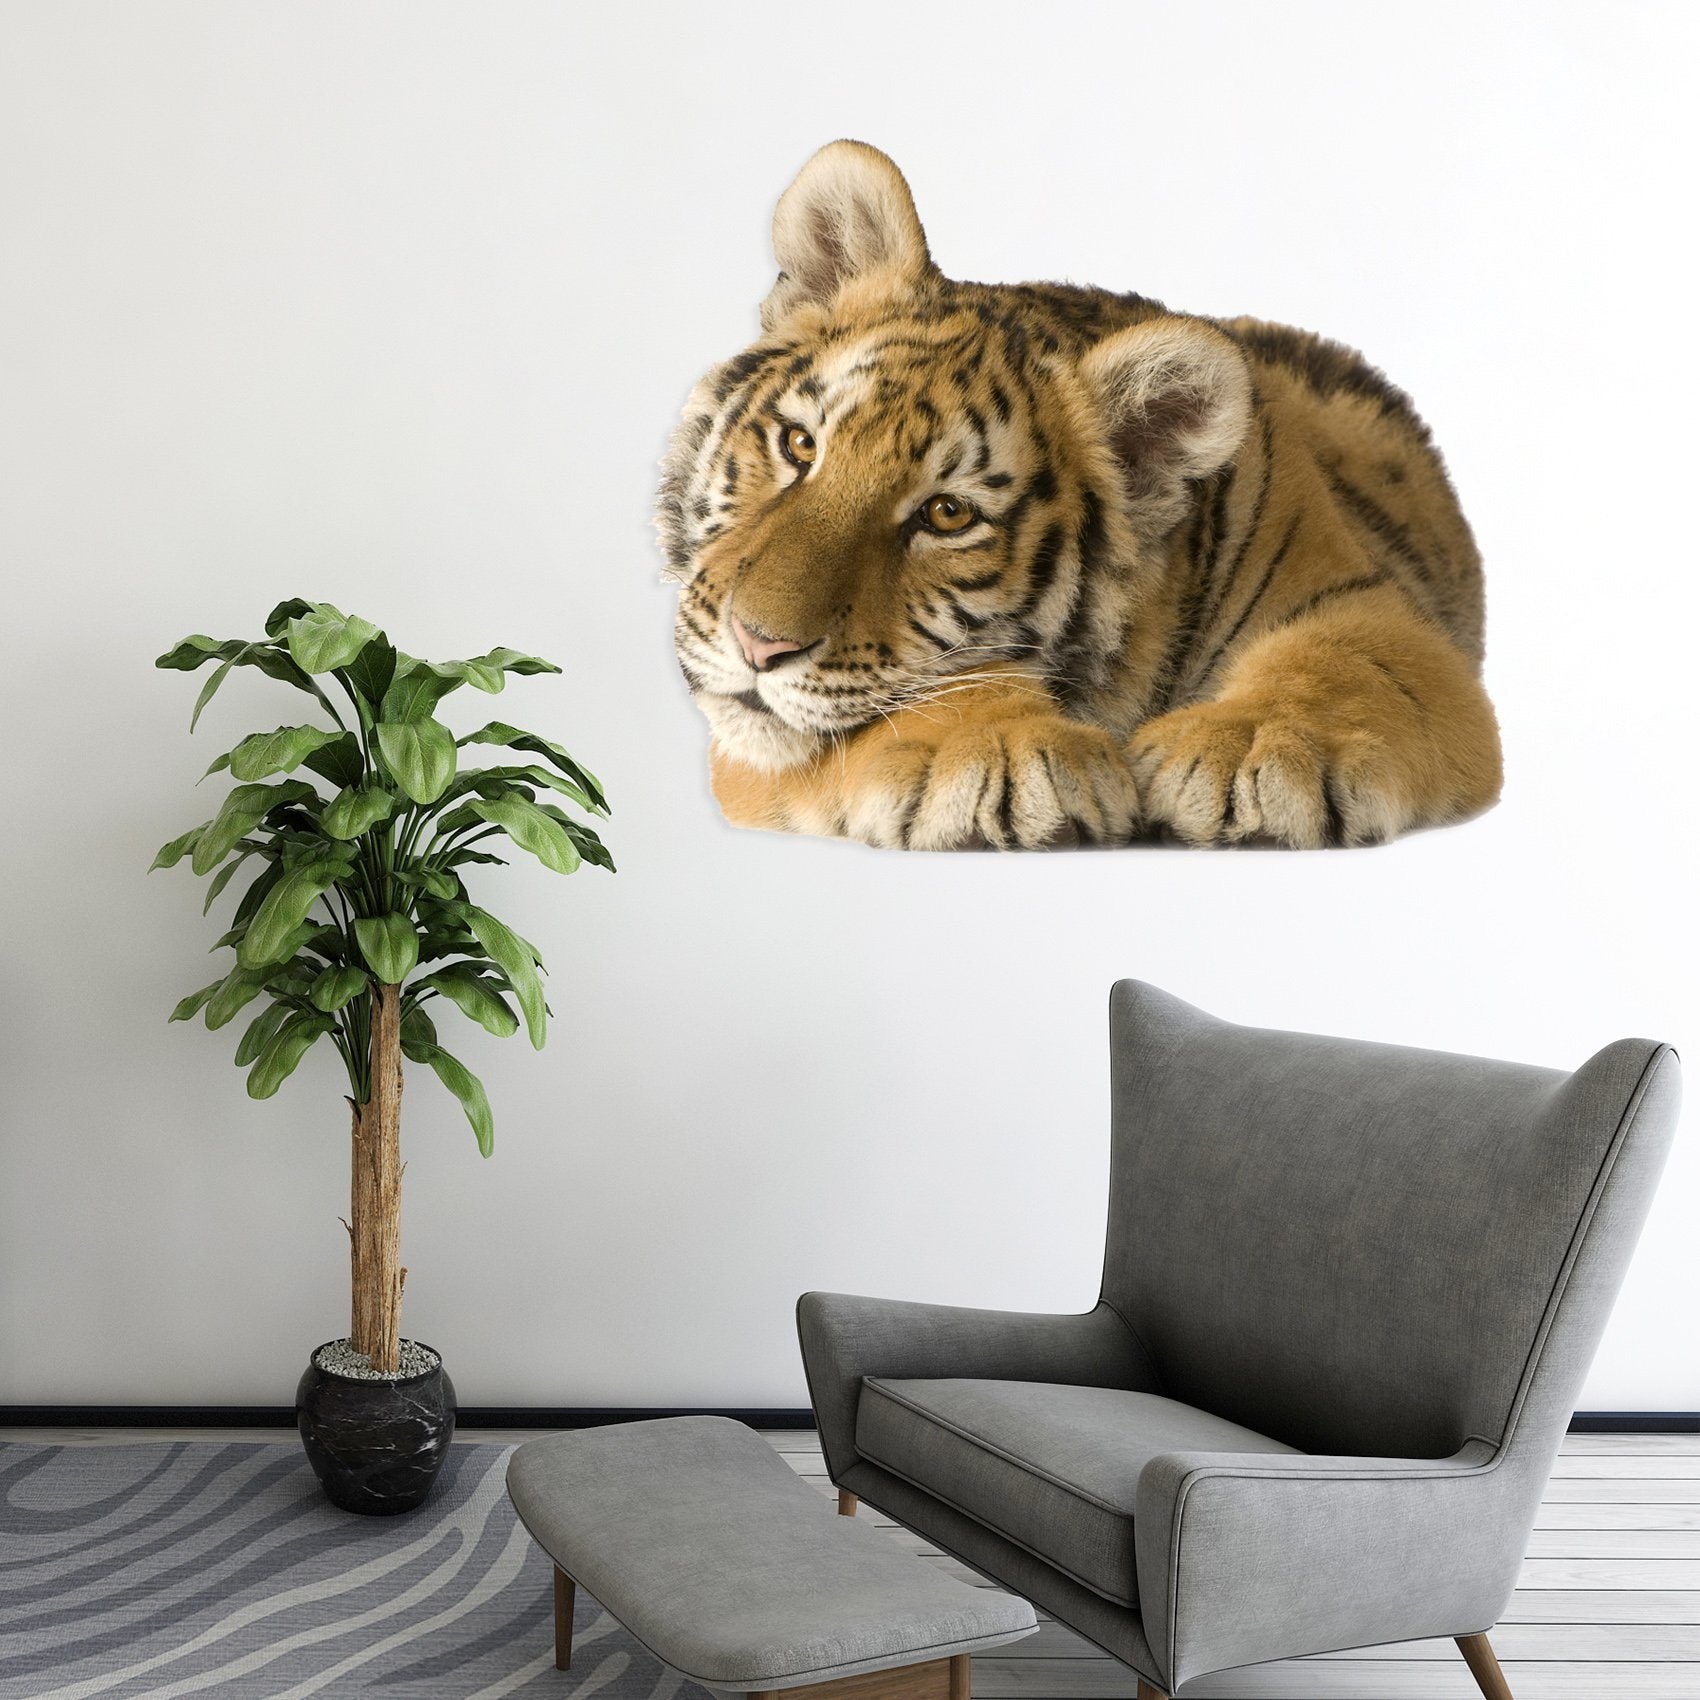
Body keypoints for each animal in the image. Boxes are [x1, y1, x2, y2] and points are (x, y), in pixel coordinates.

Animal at [656, 140, 1502, 850]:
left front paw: (1252, 747)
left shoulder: (1377, 612)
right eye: (800, 446)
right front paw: (1004, 750)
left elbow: (1346, 666)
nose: (758, 646)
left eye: (948, 514)